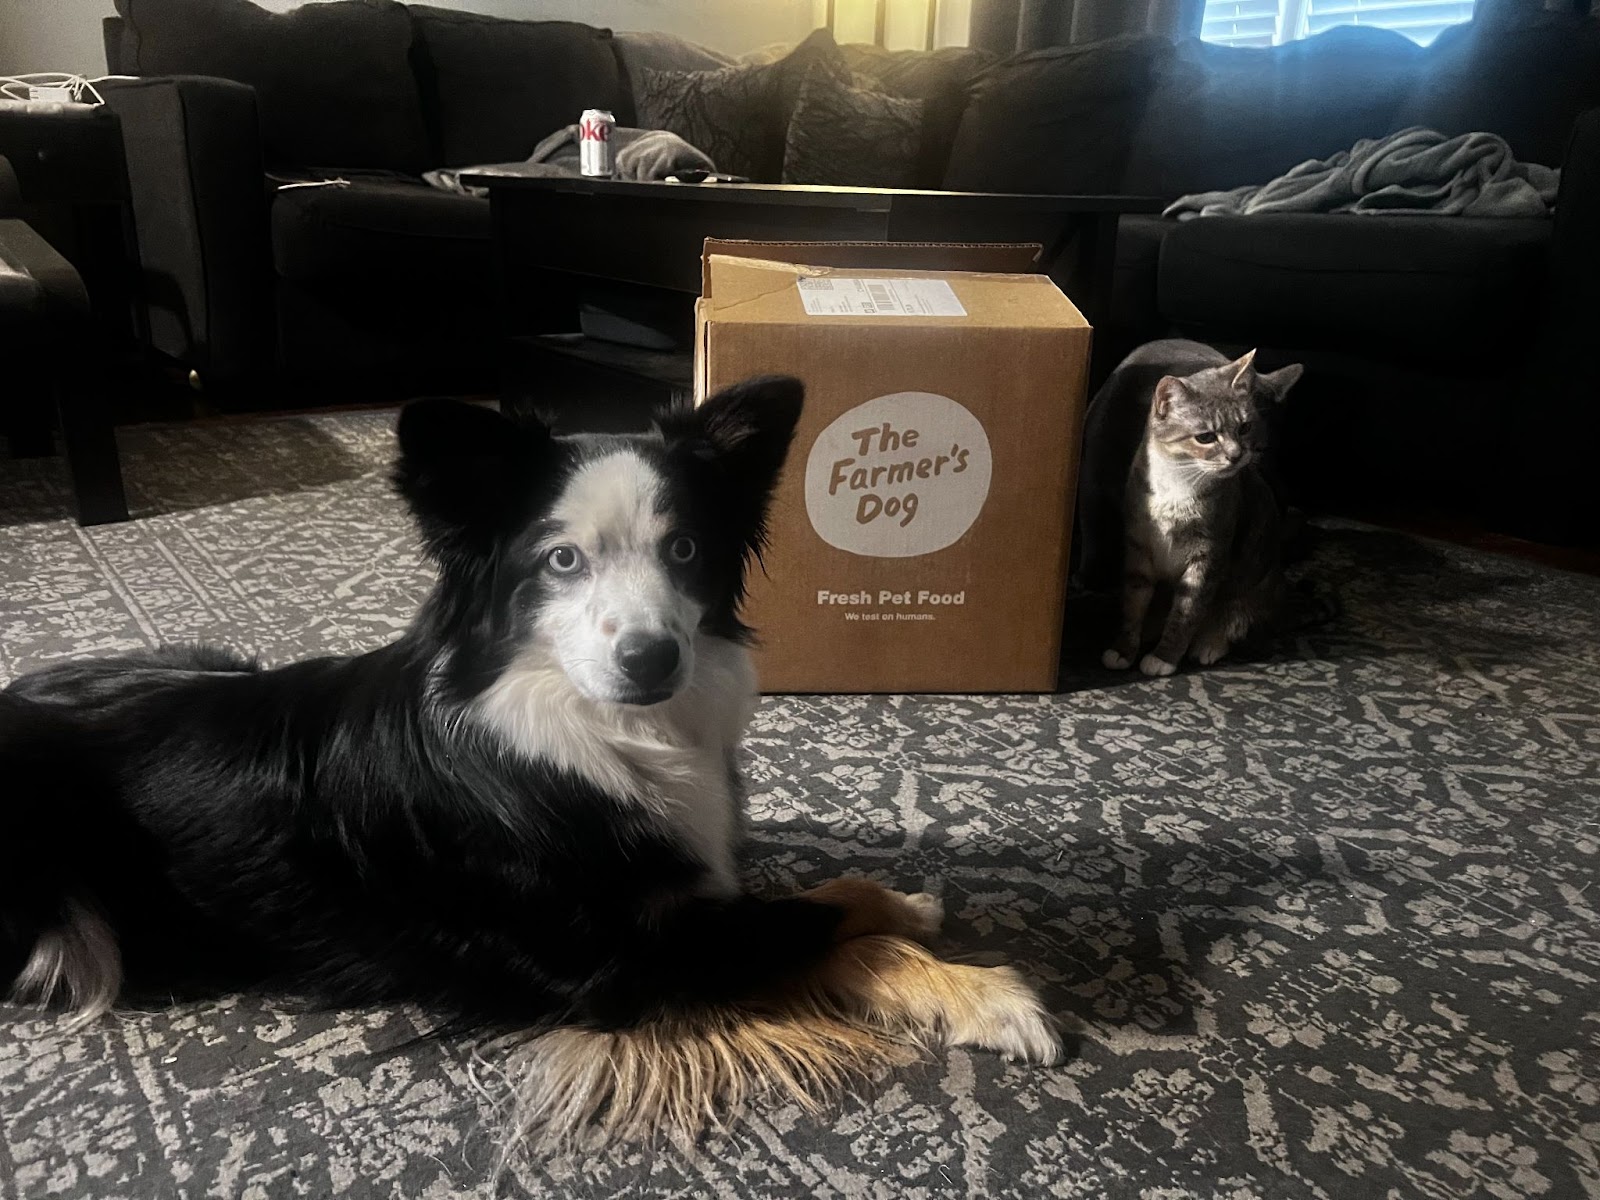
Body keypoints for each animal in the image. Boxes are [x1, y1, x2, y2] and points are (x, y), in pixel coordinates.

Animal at [3, 380, 1062, 1152]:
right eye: (560, 561)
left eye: (686, 549)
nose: (653, 659)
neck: (592, 726)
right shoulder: (616, 967)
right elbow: (819, 931)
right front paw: (989, 993)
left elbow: (827, 895)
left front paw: (905, 903)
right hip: (63, 927)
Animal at [1100, 340, 1299, 678]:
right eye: (1205, 436)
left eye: (1244, 427)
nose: (1236, 455)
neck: (1177, 482)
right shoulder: (1138, 547)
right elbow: (1133, 605)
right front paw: (1123, 649)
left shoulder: (1209, 554)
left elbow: (1186, 613)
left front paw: (1164, 658)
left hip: (1253, 587)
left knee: (1236, 618)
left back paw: (1209, 643)